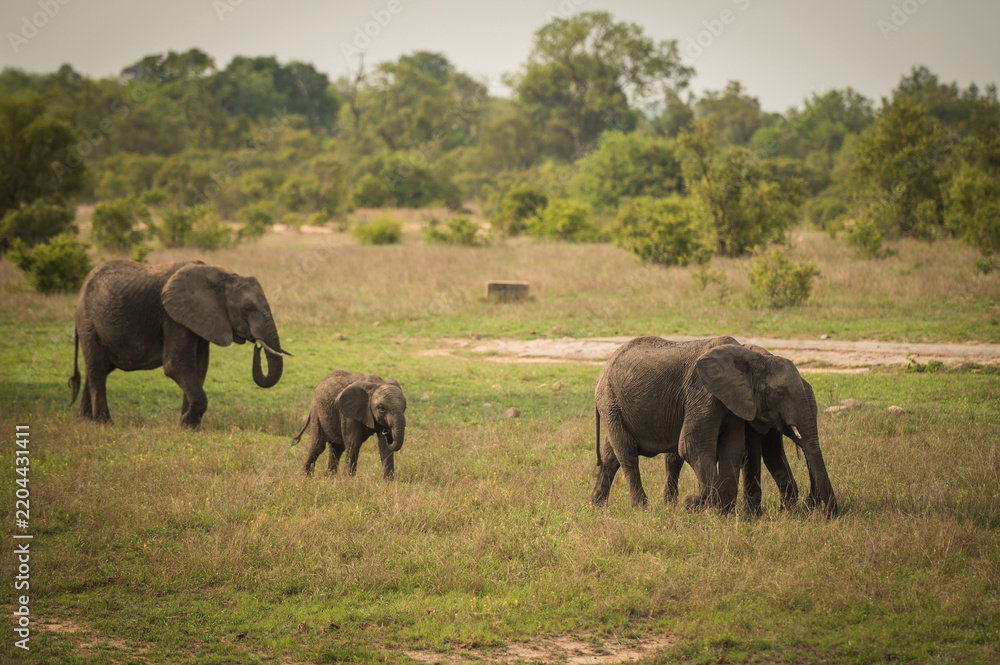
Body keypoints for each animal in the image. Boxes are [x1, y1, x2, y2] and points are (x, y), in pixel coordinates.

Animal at [70, 260, 288, 429]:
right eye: (247, 308)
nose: (257, 344)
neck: (221, 275)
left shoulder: (203, 319)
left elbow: (199, 368)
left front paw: (190, 426)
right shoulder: (173, 317)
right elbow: (176, 365)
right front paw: (188, 424)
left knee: (98, 369)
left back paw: (84, 420)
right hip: (88, 322)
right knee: (97, 367)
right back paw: (104, 423)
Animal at [590, 336, 836, 516]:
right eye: (780, 393)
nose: (822, 511)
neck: (754, 356)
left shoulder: (736, 403)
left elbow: (736, 450)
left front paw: (723, 512)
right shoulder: (703, 391)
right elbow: (692, 445)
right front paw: (702, 505)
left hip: (615, 405)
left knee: (612, 455)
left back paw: (595, 506)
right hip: (610, 401)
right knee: (627, 453)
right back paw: (642, 509)